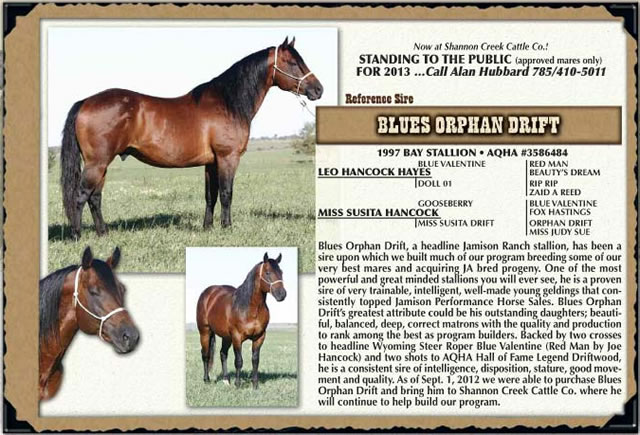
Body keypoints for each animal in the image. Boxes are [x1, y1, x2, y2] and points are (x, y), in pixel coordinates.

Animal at [59, 37, 323, 239]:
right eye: (293, 62)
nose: (318, 89)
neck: (227, 102)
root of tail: (86, 102)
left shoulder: (211, 163)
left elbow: (211, 195)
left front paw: (208, 228)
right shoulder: (228, 158)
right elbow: (227, 193)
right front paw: (227, 228)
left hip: (102, 164)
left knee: (95, 198)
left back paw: (103, 233)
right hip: (97, 163)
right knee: (80, 196)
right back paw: (77, 235)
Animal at [196, 253, 287, 389]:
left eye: (281, 272)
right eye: (267, 272)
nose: (282, 294)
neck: (251, 308)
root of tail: (207, 293)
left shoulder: (259, 337)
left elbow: (255, 360)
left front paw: (255, 385)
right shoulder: (237, 337)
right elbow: (238, 361)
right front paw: (238, 384)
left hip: (226, 336)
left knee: (223, 354)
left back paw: (226, 380)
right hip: (205, 332)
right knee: (205, 355)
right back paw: (206, 379)